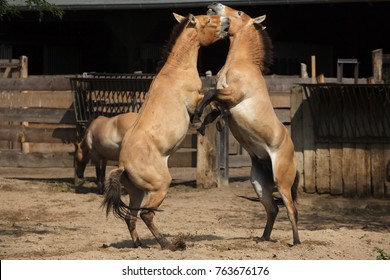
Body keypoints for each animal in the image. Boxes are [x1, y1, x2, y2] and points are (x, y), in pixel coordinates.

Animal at [102, 12, 230, 250]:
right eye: (208, 21)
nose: (227, 21)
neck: (176, 71)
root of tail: (123, 165)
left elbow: (214, 103)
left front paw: (209, 122)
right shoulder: (194, 99)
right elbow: (211, 100)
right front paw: (202, 122)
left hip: (137, 192)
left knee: (131, 217)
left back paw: (140, 245)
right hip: (160, 186)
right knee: (146, 215)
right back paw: (168, 244)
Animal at [193, 3, 300, 245]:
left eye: (239, 13)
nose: (213, 5)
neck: (240, 64)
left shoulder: (232, 95)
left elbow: (209, 93)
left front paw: (196, 117)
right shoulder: (224, 104)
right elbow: (212, 107)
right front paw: (200, 124)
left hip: (282, 182)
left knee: (291, 210)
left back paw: (296, 242)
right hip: (259, 184)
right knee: (273, 210)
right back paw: (263, 238)